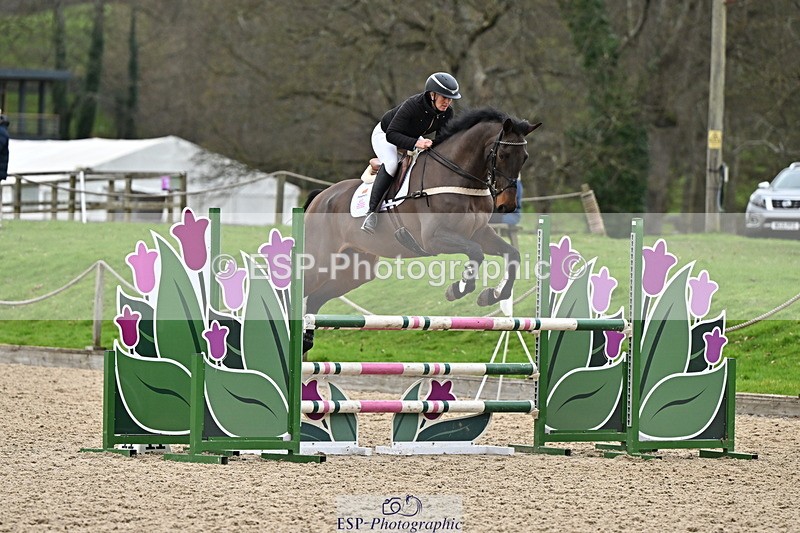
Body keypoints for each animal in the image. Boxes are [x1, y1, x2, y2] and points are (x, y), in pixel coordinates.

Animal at [302, 108, 541, 353]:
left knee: (315, 299)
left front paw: (493, 294)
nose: (507, 206)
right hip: (319, 262)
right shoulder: (434, 238)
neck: (458, 177)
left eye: (524, 157)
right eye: (503, 155)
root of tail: (320, 197)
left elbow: (512, 254)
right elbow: (475, 252)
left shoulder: (479, 233)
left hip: (356, 269)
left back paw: (306, 341)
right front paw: (459, 288)